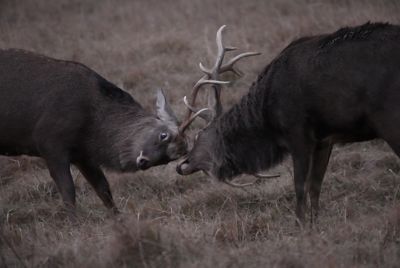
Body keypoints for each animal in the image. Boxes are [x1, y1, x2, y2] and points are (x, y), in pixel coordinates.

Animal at [0, 48, 188, 216]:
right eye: (163, 135)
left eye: (168, 159)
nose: (143, 161)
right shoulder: (48, 143)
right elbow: (68, 191)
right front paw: (74, 223)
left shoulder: (83, 154)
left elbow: (103, 187)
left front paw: (118, 218)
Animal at [176, 23, 400, 223]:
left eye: (198, 135)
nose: (182, 165)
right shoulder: (324, 139)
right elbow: (316, 185)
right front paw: (315, 225)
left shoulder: (298, 134)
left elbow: (300, 185)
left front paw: (299, 225)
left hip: (388, 119)